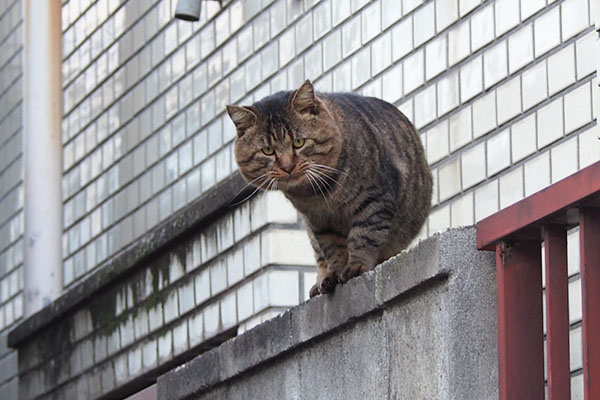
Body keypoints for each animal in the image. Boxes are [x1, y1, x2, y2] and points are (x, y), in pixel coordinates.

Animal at [226, 80, 432, 296]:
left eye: (298, 142)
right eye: (267, 150)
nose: (287, 167)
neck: (316, 194)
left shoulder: (374, 200)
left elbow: (364, 235)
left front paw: (356, 266)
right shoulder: (319, 221)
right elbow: (333, 249)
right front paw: (333, 273)